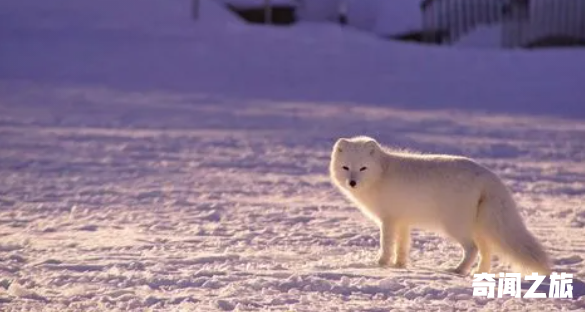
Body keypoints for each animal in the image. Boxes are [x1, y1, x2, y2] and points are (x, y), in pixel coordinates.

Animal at [330, 136, 548, 276]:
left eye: (363, 168)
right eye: (346, 168)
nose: (352, 182)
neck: (381, 174)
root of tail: (488, 175)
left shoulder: (388, 220)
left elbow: (387, 244)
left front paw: (381, 264)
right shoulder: (403, 221)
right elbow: (402, 246)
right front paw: (400, 265)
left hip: (455, 226)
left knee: (473, 248)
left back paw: (459, 270)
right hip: (479, 226)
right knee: (487, 250)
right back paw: (480, 273)